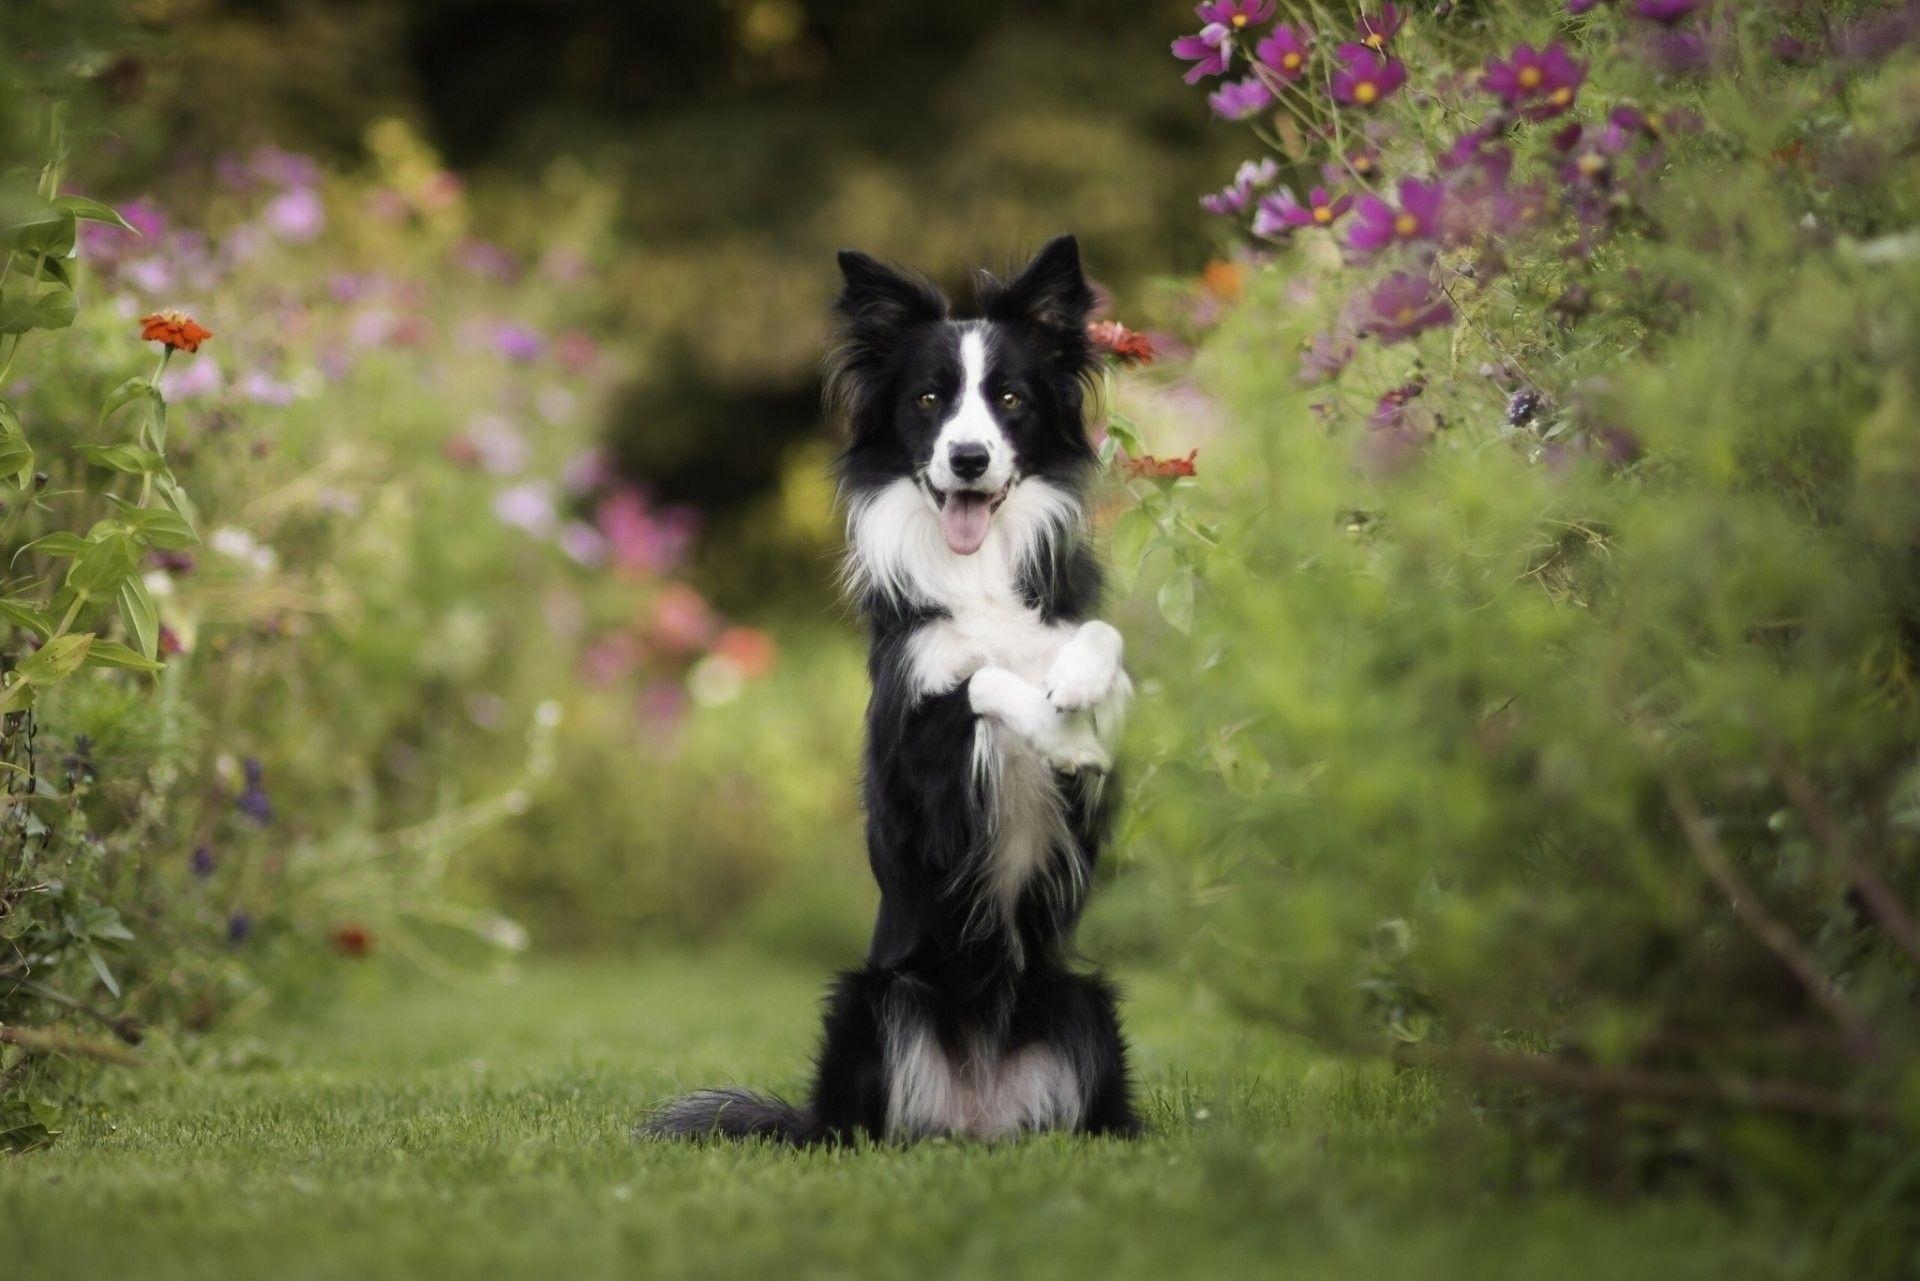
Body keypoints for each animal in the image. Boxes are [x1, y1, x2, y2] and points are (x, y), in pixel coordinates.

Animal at [645, 235, 1136, 1144]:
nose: (968, 458)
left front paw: (1078, 688)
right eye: (930, 399)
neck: (978, 569)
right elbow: (979, 676)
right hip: (873, 999)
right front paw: (1062, 730)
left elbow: (1102, 651)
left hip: (1082, 998)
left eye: (1010, 398)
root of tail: (979, 1117)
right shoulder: (925, 784)